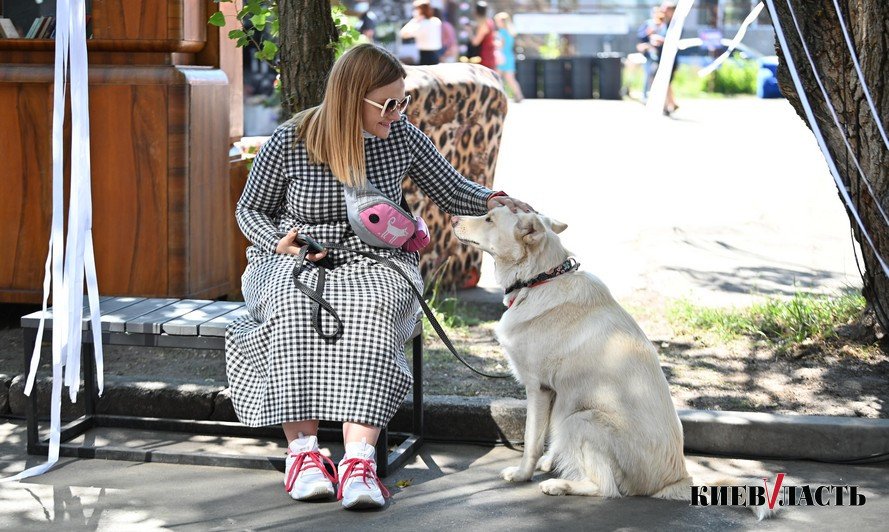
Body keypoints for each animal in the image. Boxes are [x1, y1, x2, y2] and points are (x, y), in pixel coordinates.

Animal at [450, 208, 772, 520]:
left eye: (489, 219)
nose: (452, 218)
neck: (542, 278)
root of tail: (678, 480)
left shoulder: (538, 388)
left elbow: (531, 440)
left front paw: (521, 474)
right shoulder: (558, 394)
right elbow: (549, 437)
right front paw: (550, 460)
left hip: (581, 419)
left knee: (606, 489)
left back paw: (561, 485)